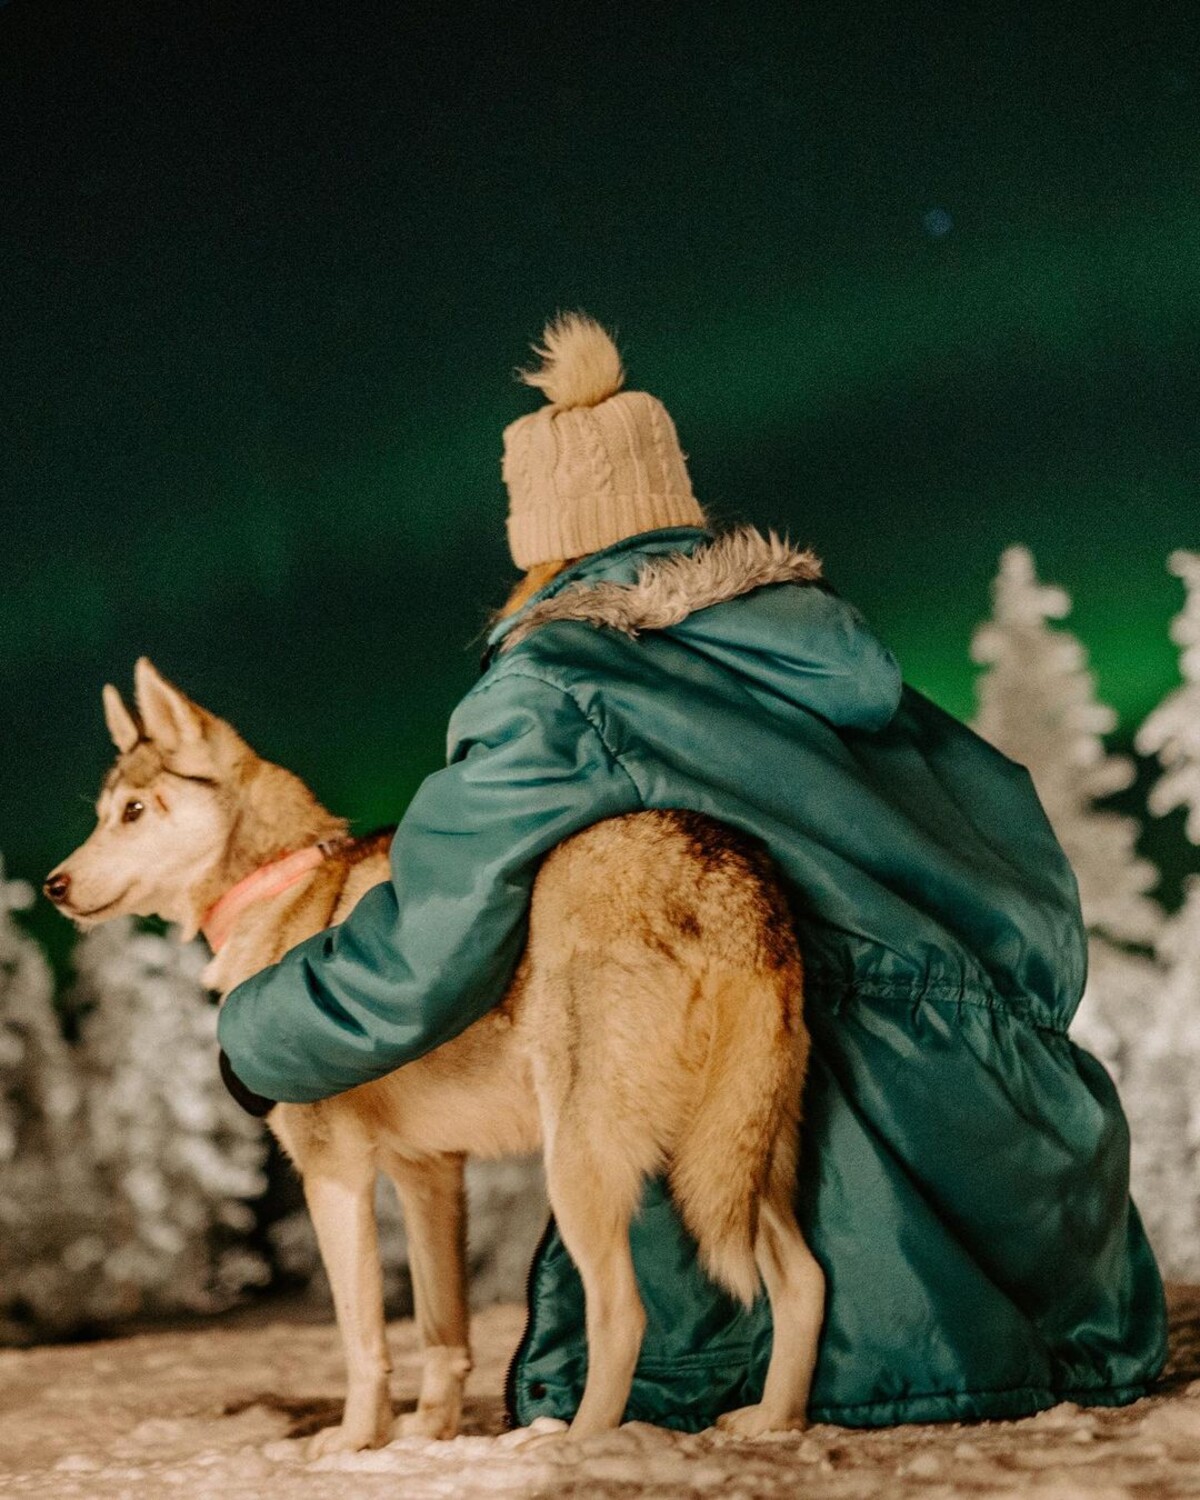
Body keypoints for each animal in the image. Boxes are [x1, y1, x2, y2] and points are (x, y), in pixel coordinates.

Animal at [42, 657, 822, 1452]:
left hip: (585, 1173)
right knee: (806, 1283)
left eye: (133, 811)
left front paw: (355, 1442)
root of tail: (724, 879)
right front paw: (429, 1435)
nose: (53, 886)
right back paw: (774, 1422)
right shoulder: (431, 1174)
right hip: (737, 1165)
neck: (280, 888)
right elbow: (443, 1333)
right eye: (103, 814)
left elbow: (364, 1343)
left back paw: (573, 1444)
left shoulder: (336, 1176)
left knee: (622, 1316)